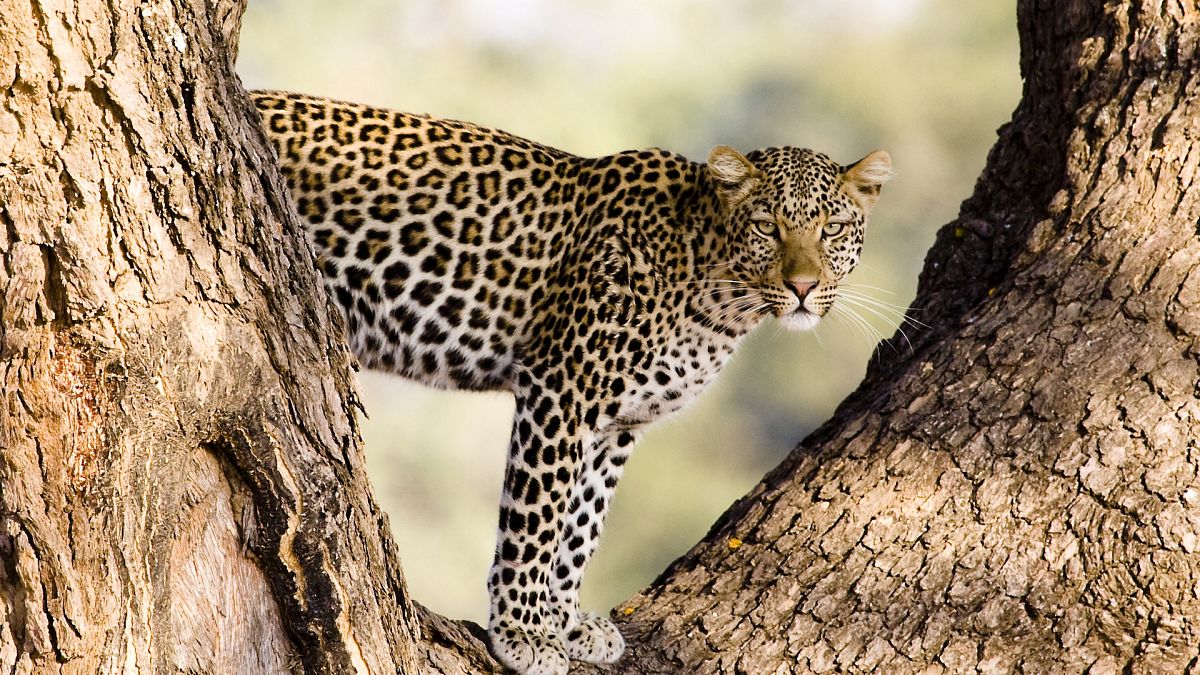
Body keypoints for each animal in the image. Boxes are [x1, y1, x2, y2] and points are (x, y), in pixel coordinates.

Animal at [250, 90, 892, 672]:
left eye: (833, 228)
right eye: (766, 226)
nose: (804, 286)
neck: (718, 298)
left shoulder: (618, 422)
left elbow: (582, 522)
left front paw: (566, 621)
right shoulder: (561, 389)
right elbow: (538, 515)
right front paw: (524, 632)